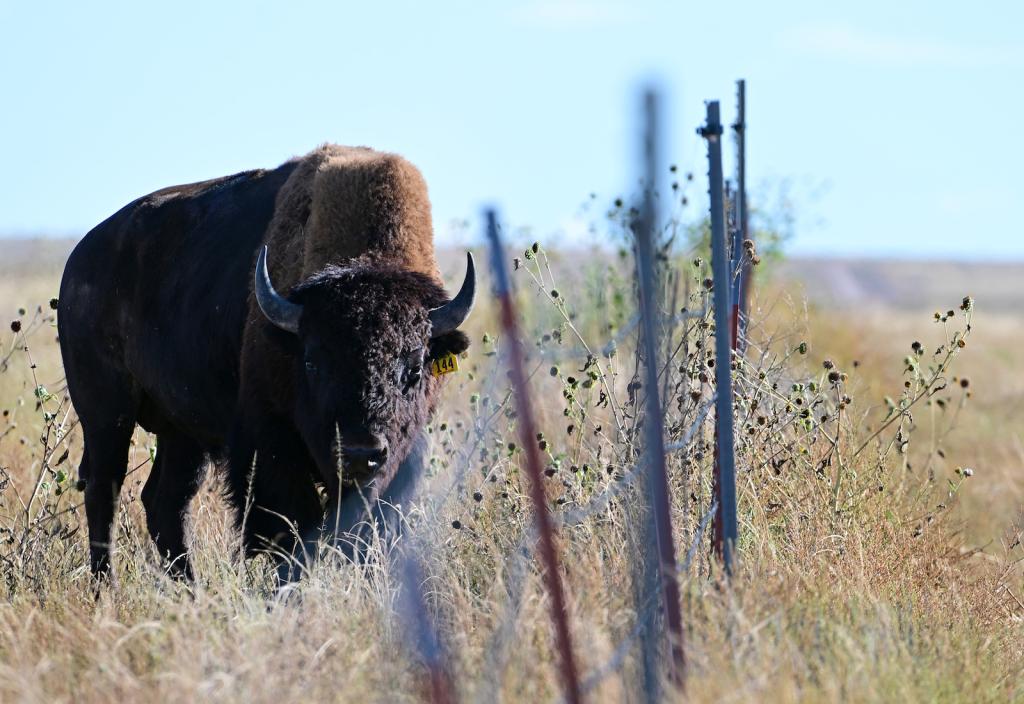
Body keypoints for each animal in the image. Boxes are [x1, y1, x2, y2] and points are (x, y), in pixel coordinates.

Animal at [58, 145, 474, 580]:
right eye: (312, 363)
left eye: (415, 368)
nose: (360, 452)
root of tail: (80, 258)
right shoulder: (269, 442)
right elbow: (289, 529)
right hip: (106, 416)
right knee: (104, 487)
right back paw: (106, 585)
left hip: (182, 432)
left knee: (164, 502)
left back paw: (191, 587)